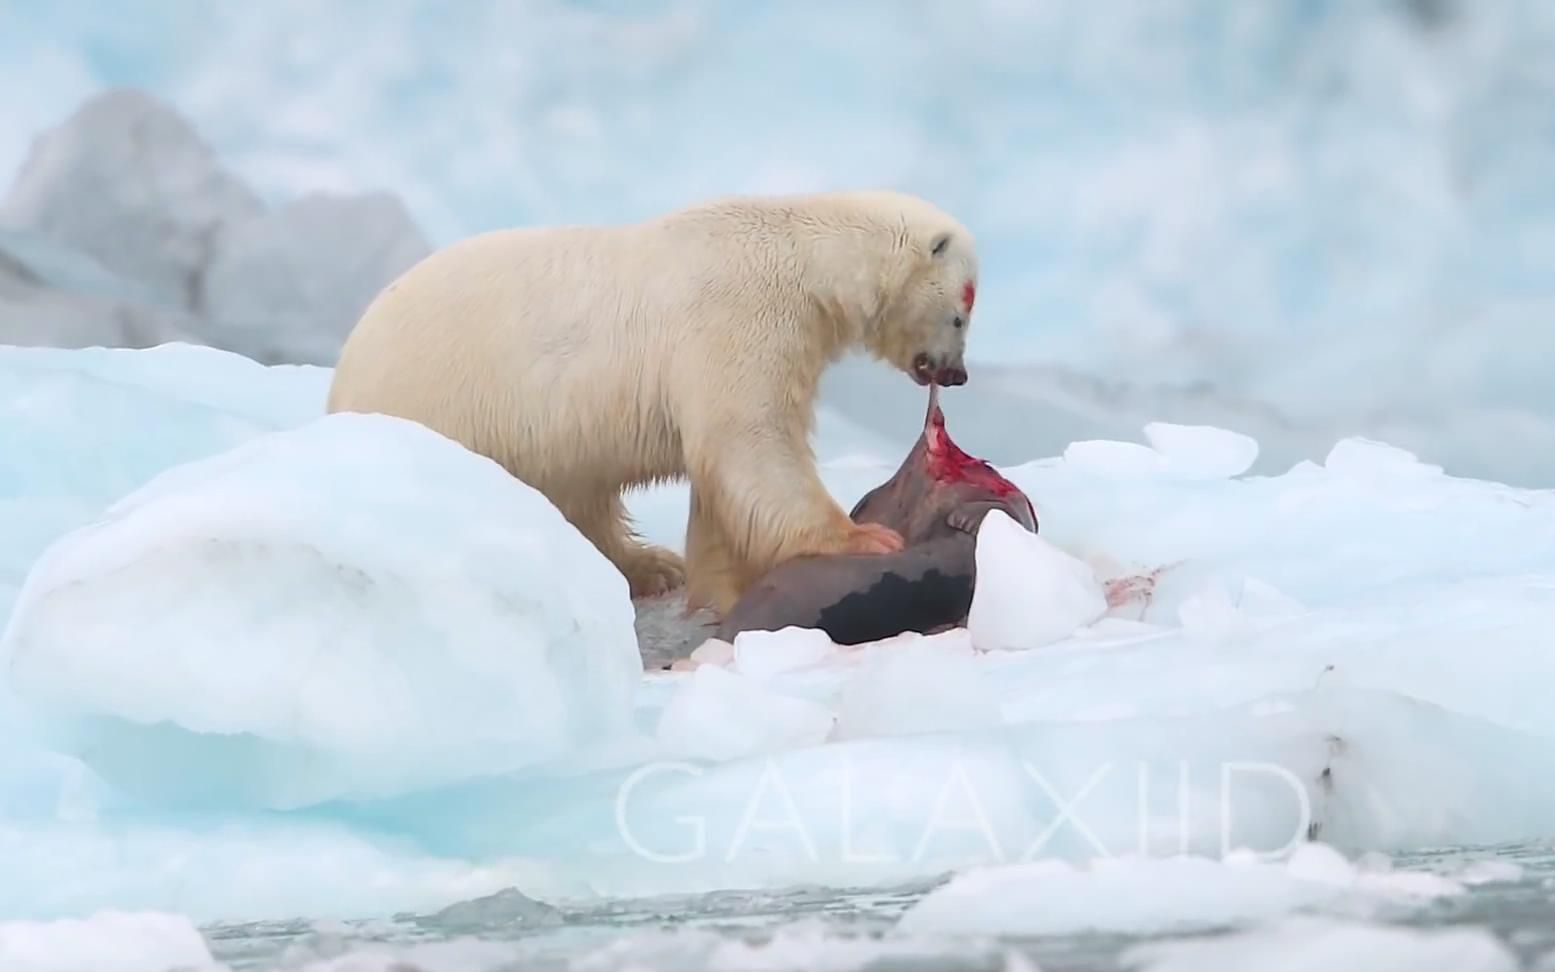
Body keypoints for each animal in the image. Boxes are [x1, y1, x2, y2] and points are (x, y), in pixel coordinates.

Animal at [326, 188, 976, 612]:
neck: (800, 254)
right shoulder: (741, 318)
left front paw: (715, 579)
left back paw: (650, 567)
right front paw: (863, 537)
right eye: (962, 312)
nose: (959, 374)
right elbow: (751, 442)